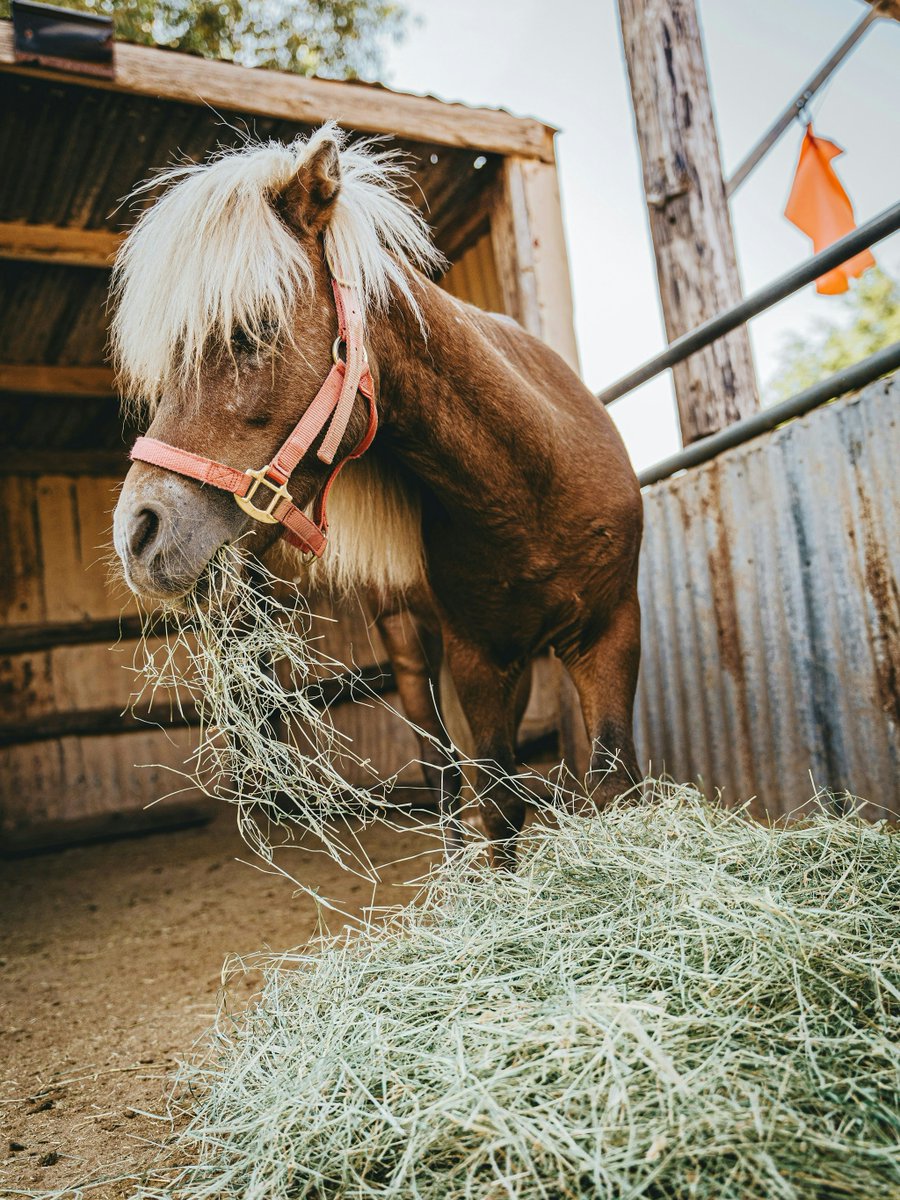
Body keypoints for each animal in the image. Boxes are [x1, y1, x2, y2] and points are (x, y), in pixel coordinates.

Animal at [111, 124, 643, 867]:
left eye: (253, 330)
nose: (137, 534)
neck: (530, 483)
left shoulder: (610, 631)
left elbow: (613, 782)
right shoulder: (480, 660)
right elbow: (500, 803)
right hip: (413, 646)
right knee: (442, 769)